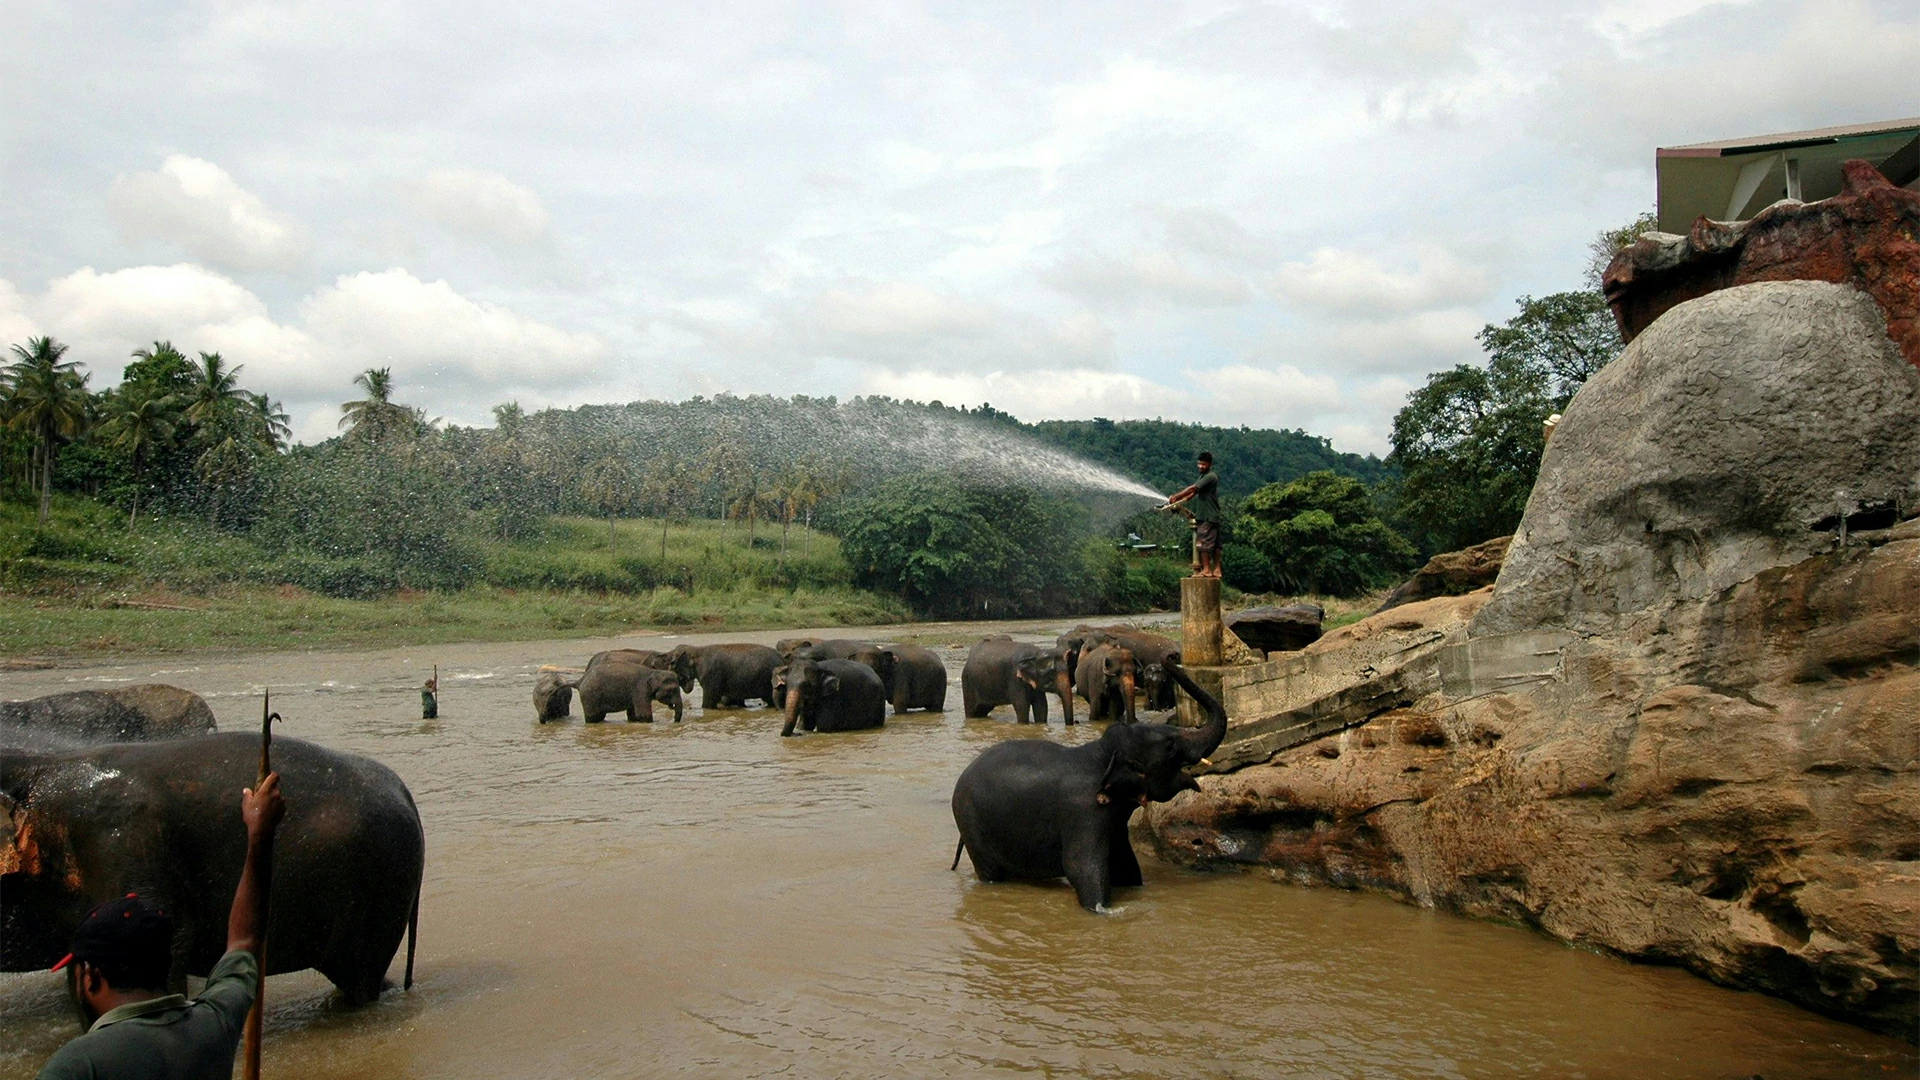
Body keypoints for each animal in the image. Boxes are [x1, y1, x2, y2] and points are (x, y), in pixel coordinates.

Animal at [1, 733, 424, 1004]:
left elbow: (168, 933)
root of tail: (405, 791)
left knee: (360, 978)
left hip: (383, 882)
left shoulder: (122, 844)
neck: (37, 769)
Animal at [950, 662, 1227, 911]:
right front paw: (1101, 910)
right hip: (970, 823)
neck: (1103, 753)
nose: (1168, 659)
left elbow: (1125, 864)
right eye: (1170, 746)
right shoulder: (1083, 812)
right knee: (989, 871)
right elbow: (1081, 868)